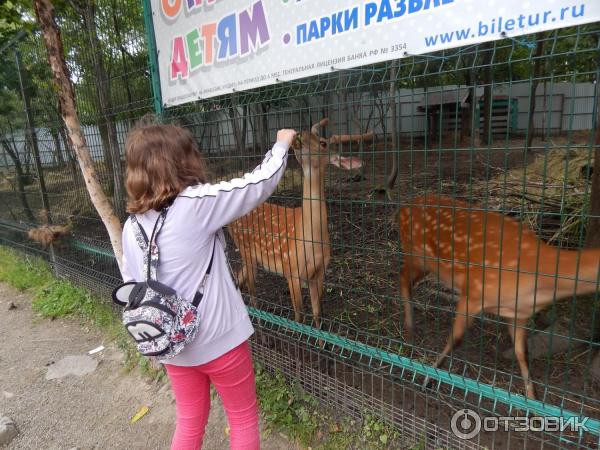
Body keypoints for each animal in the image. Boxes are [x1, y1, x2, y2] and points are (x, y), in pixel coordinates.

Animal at [230, 119, 370, 328]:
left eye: (323, 143)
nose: (300, 135)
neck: (311, 241)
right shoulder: (291, 269)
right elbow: (299, 315)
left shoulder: (319, 272)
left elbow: (317, 313)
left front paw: (319, 335)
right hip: (245, 247)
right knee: (252, 291)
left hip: (252, 257)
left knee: (243, 279)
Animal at [398, 195, 600, 400]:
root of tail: (407, 205)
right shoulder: (474, 292)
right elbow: (455, 339)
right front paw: (428, 378)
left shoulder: (519, 313)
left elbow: (522, 352)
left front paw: (533, 401)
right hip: (416, 254)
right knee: (402, 277)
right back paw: (410, 328)